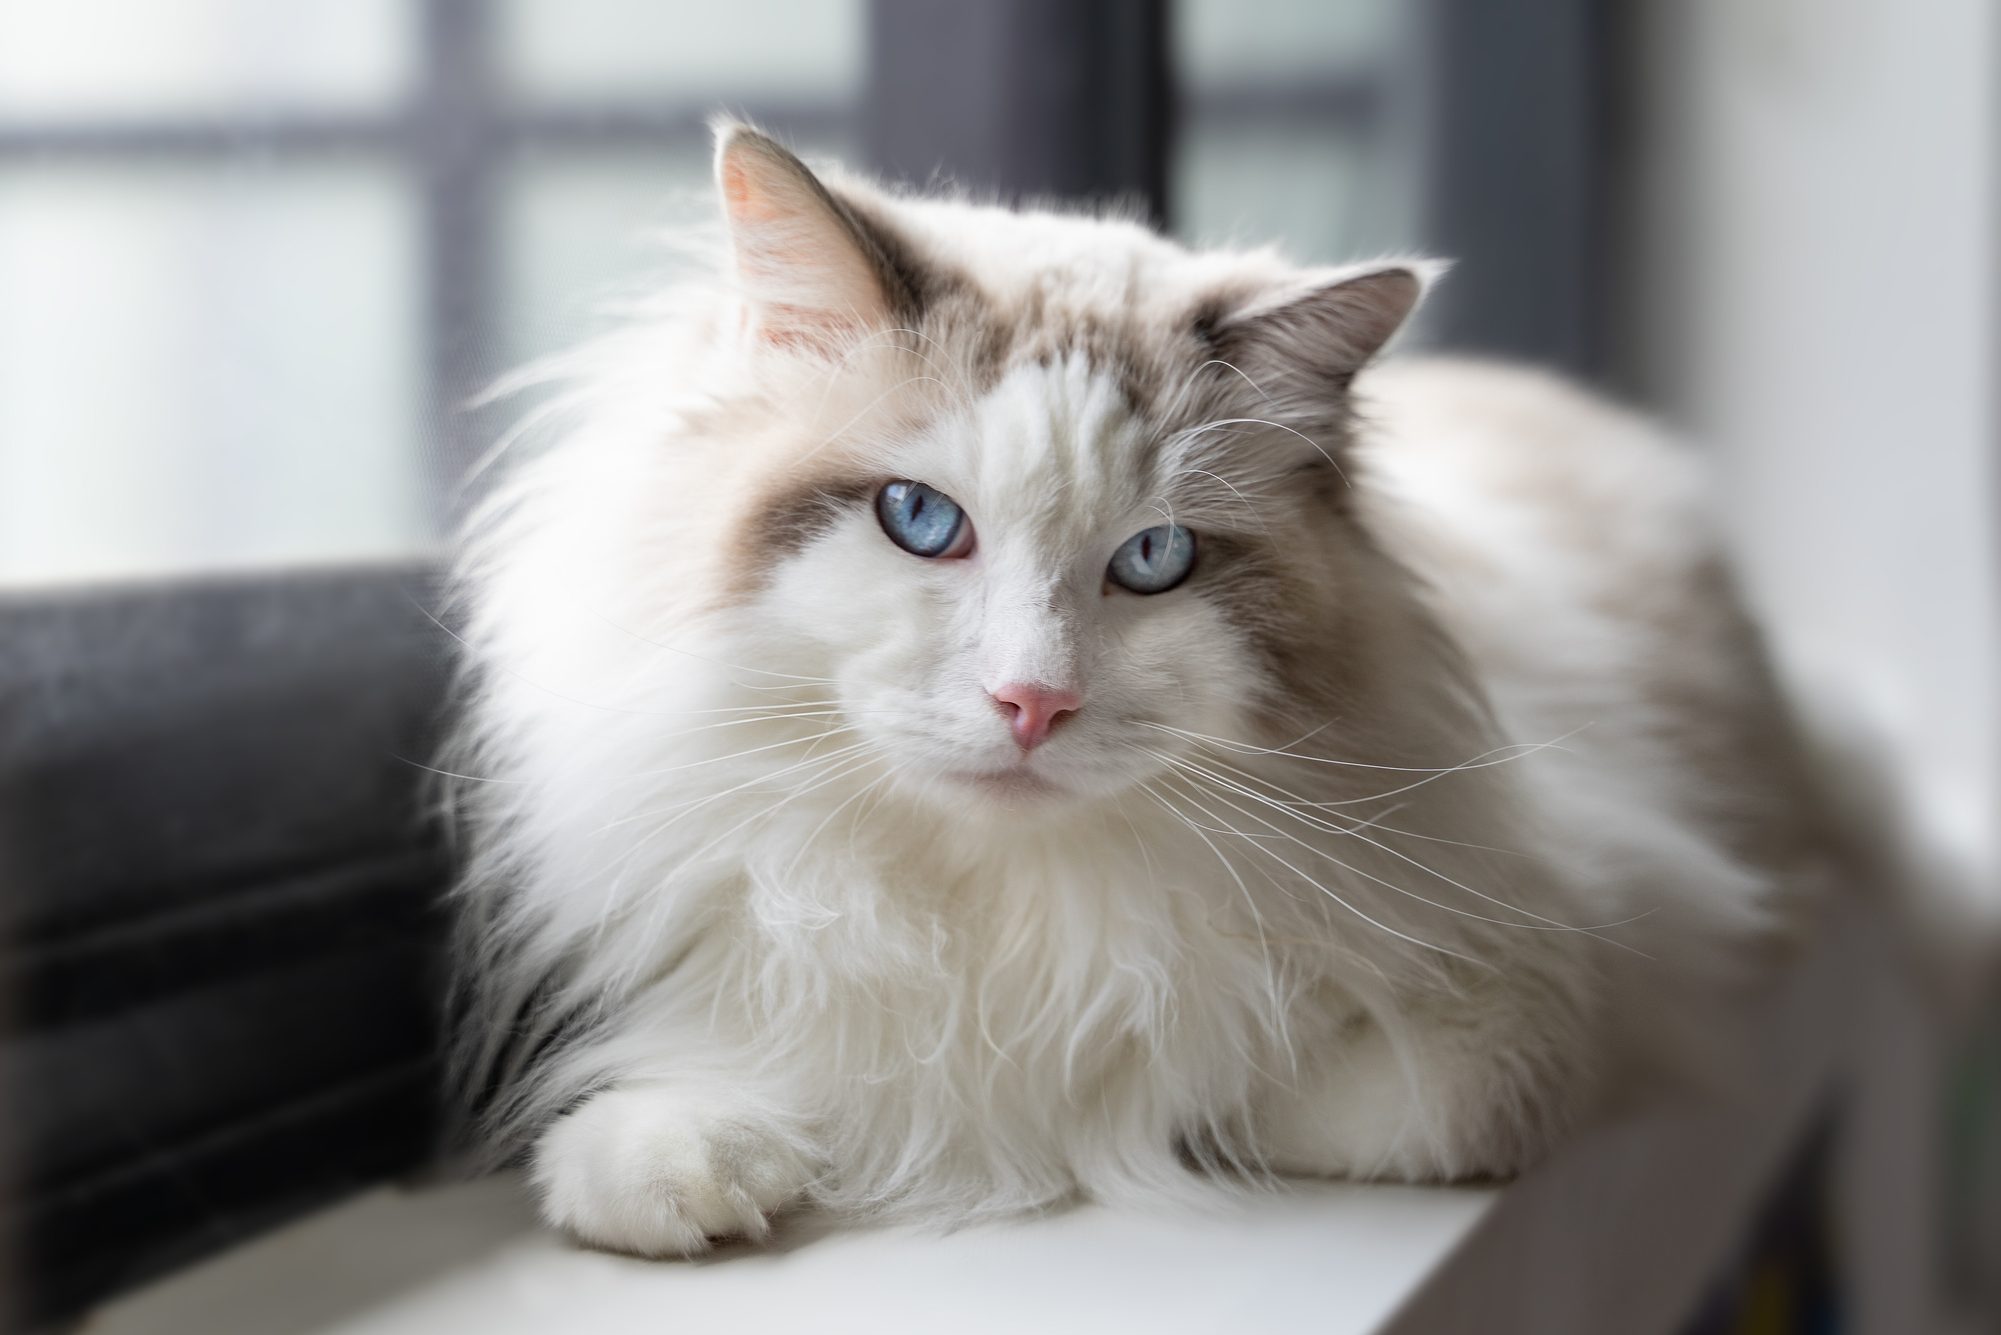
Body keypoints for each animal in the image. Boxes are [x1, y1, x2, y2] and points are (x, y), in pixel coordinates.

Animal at [446, 120, 1824, 1256]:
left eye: (1156, 560)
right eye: (920, 520)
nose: (1032, 704)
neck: (1009, 909)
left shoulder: (1550, 1001)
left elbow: (1235, 1089)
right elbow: (758, 1075)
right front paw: (695, 1159)